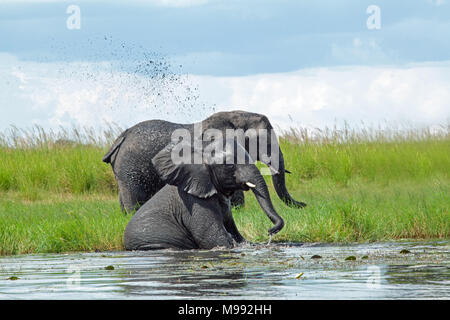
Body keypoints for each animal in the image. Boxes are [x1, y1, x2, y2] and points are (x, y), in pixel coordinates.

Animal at [102, 110, 306, 212]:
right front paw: (238, 211)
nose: (304, 205)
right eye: (262, 140)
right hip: (131, 166)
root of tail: (121, 137)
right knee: (134, 198)